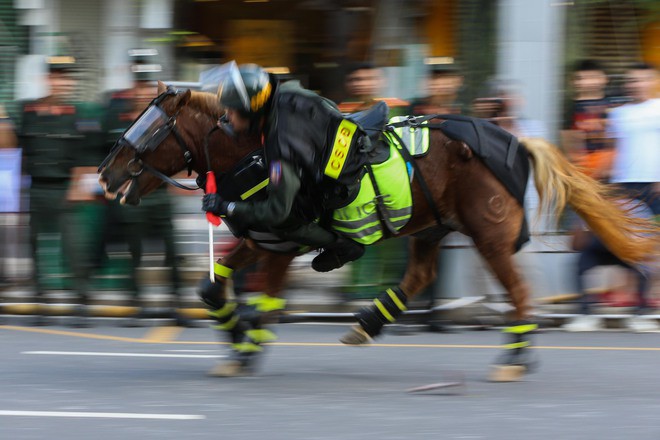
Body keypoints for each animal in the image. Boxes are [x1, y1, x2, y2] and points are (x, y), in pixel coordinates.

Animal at [99, 84, 660, 380]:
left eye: (152, 127)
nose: (105, 175)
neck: (253, 153)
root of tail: (518, 141)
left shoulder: (281, 244)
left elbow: (267, 302)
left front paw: (247, 346)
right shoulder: (261, 240)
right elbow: (210, 287)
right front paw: (236, 339)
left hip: (488, 236)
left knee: (519, 291)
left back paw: (516, 359)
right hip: (431, 227)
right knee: (421, 276)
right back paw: (369, 321)